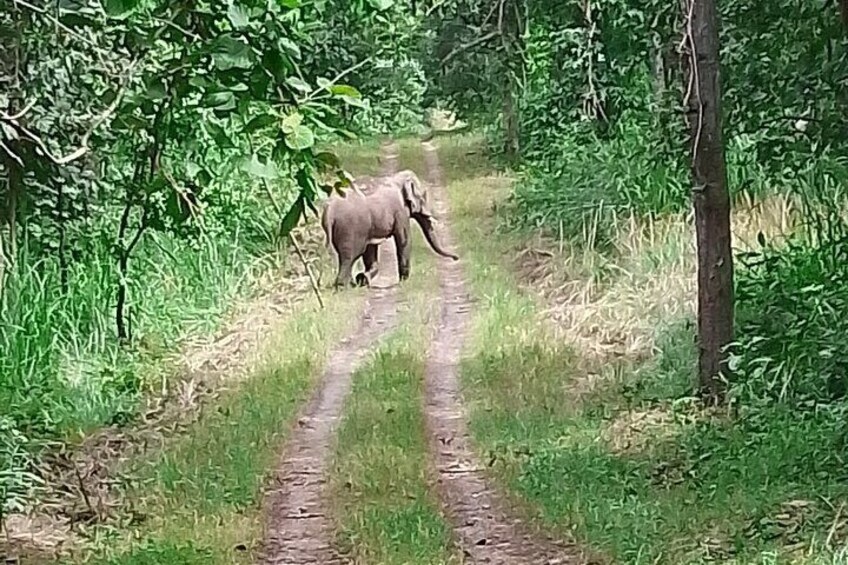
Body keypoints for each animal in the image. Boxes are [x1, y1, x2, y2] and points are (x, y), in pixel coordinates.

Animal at [322, 169, 460, 288]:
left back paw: (350, 284)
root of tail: (329, 210)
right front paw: (404, 280)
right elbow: (404, 240)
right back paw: (343, 286)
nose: (456, 258)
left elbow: (371, 249)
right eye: (423, 197)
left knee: (346, 256)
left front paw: (363, 279)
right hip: (351, 228)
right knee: (351, 256)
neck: (397, 177)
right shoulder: (400, 211)